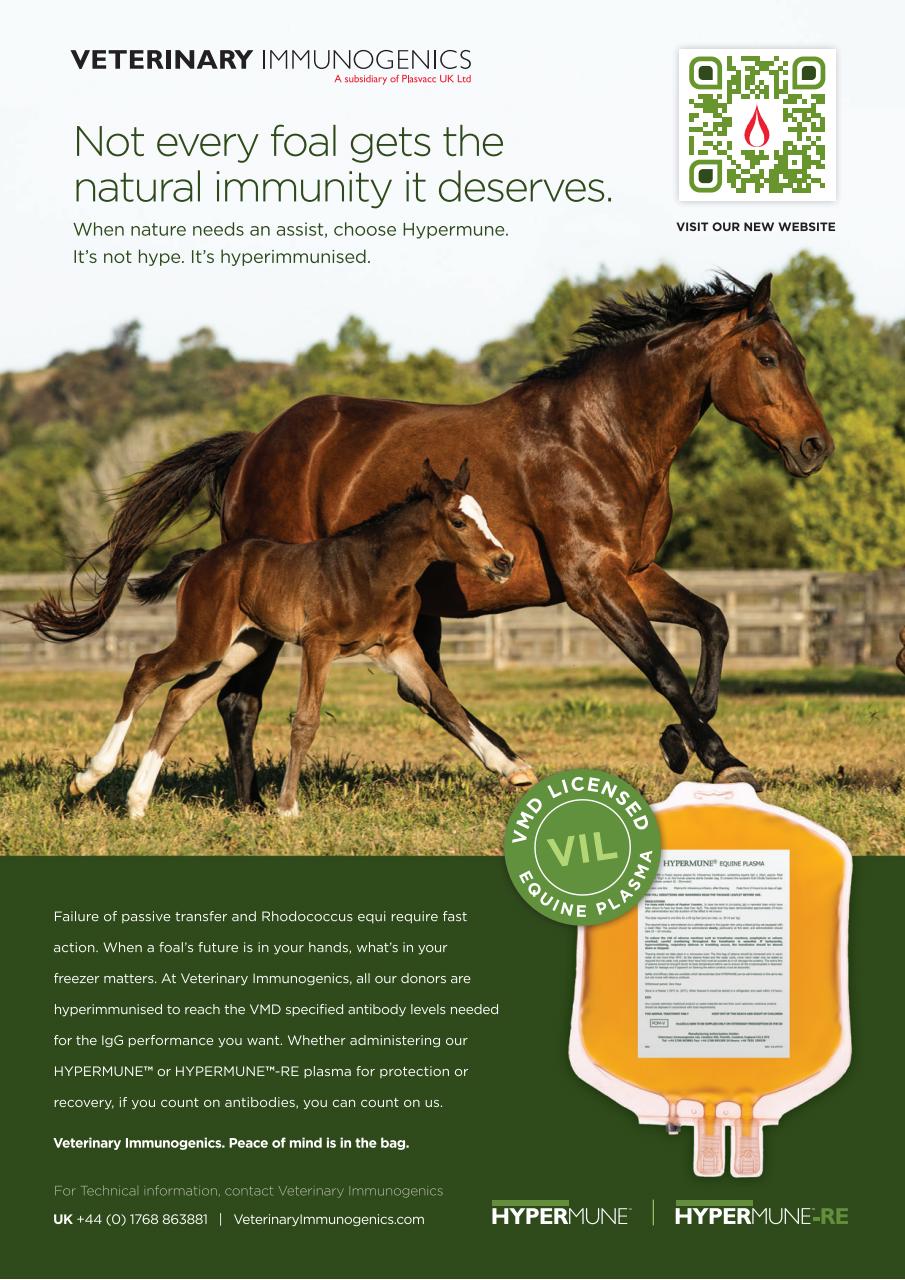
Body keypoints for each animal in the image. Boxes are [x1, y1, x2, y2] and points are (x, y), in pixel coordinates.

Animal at [67, 460, 515, 818]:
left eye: (484, 516)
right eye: (458, 522)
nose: (504, 561)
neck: (375, 571)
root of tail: (204, 558)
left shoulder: (397, 646)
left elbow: (445, 701)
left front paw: (511, 768)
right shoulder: (319, 644)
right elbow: (305, 721)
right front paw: (287, 806)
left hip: (241, 648)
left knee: (181, 699)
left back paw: (137, 801)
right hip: (204, 640)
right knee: (145, 670)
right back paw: (89, 777)